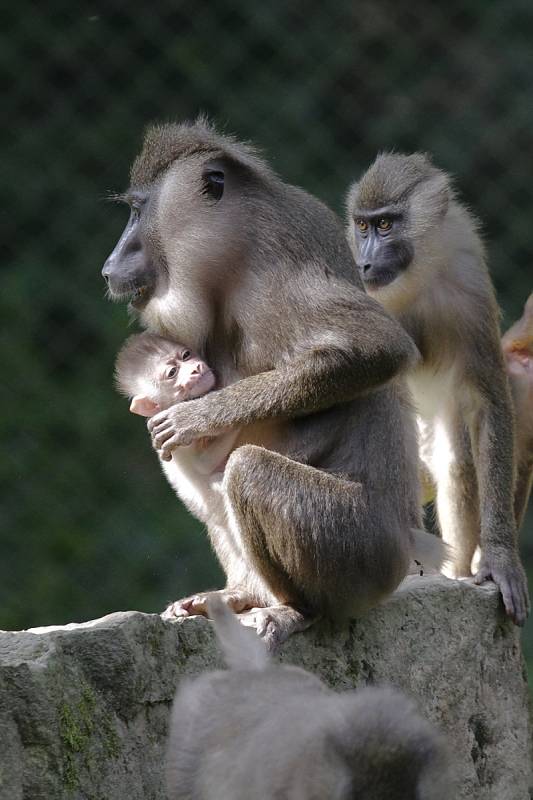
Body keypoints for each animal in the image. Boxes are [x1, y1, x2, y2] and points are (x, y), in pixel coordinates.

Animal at [102, 119, 442, 648]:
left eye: (139, 211)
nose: (110, 263)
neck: (233, 251)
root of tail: (404, 554)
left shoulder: (278, 279)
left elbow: (379, 348)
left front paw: (196, 417)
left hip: (356, 553)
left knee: (246, 470)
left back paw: (296, 609)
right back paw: (241, 594)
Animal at [344, 150, 528, 624]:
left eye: (386, 224)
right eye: (362, 227)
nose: (364, 264)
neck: (414, 282)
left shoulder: (469, 284)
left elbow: (487, 402)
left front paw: (500, 559)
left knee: (457, 463)